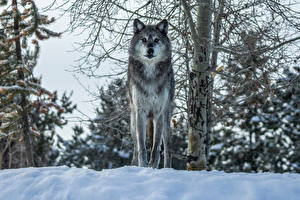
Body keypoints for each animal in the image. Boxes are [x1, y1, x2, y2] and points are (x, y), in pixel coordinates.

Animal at [127, 19, 175, 169]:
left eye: (156, 40)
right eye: (143, 39)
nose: (150, 50)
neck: (150, 74)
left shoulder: (159, 113)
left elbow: (156, 146)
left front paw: (153, 166)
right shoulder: (140, 111)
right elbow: (142, 146)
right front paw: (143, 165)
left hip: (166, 121)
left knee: (167, 147)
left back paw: (167, 168)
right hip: (133, 122)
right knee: (135, 146)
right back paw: (133, 165)